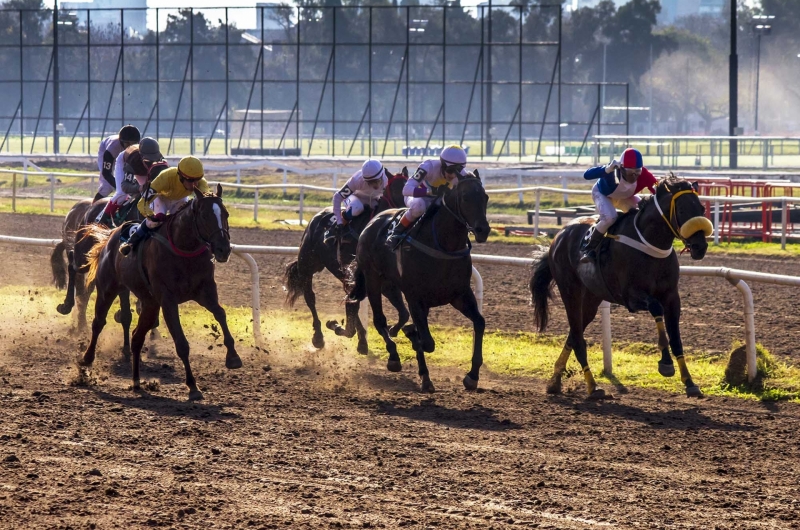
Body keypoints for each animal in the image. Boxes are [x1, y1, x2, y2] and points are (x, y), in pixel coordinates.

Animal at [83, 184, 244, 398]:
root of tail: (111, 235)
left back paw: (136, 381)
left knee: (137, 337)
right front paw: (192, 386)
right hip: (107, 289)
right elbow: (181, 343)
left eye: (226, 213)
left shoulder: (206, 291)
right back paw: (87, 359)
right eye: (204, 215)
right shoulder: (168, 300)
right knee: (98, 322)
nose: (223, 249)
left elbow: (220, 313)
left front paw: (233, 356)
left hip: (150, 304)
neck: (184, 249)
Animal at [284, 167, 410, 352]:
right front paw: (337, 327)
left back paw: (361, 341)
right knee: (310, 297)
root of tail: (316, 218)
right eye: (395, 190)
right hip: (307, 265)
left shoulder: (385, 282)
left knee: (350, 299)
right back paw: (318, 337)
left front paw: (391, 330)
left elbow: (404, 313)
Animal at [346, 171, 490, 390]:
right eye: (465, 198)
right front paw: (410, 337)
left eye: (486, 197)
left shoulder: (460, 295)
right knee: (379, 320)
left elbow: (479, 323)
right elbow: (427, 342)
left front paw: (472, 375)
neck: (443, 247)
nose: (483, 230)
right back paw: (394, 357)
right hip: (373, 280)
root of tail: (372, 222)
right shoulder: (415, 298)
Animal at [532, 175, 712, 398]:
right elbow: (656, 308)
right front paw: (665, 363)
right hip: (570, 291)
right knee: (577, 338)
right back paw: (593, 387)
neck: (651, 245)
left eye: (701, 208)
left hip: (591, 298)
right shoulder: (631, 296)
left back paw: (556, 380)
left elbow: (676, 338)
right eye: (681, 210)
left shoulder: (672, 297)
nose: (700, 247)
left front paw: (690, 382)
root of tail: (559, 236)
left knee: (574, 334)